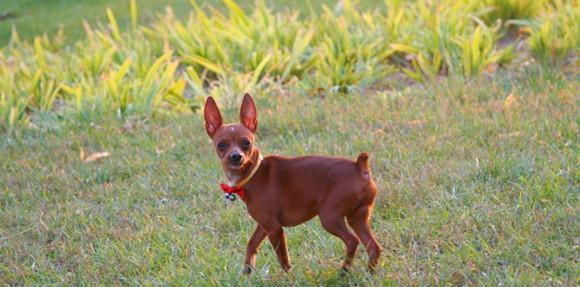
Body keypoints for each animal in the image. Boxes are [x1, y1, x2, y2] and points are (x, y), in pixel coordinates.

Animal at [203, 94, 380, 274]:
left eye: (246, 142)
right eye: (221, 144)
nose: (236, 156)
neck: (254, 173)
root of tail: (360, 167)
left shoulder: (274, 228)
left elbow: (283, 259)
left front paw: (289, 276)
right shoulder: (264, 225)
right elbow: (252, 244)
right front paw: (247, 271)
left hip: (329, 217)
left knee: (353, 241)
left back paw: (344, 270)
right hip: (357, 217)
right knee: (373, 246)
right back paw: (369, 272)